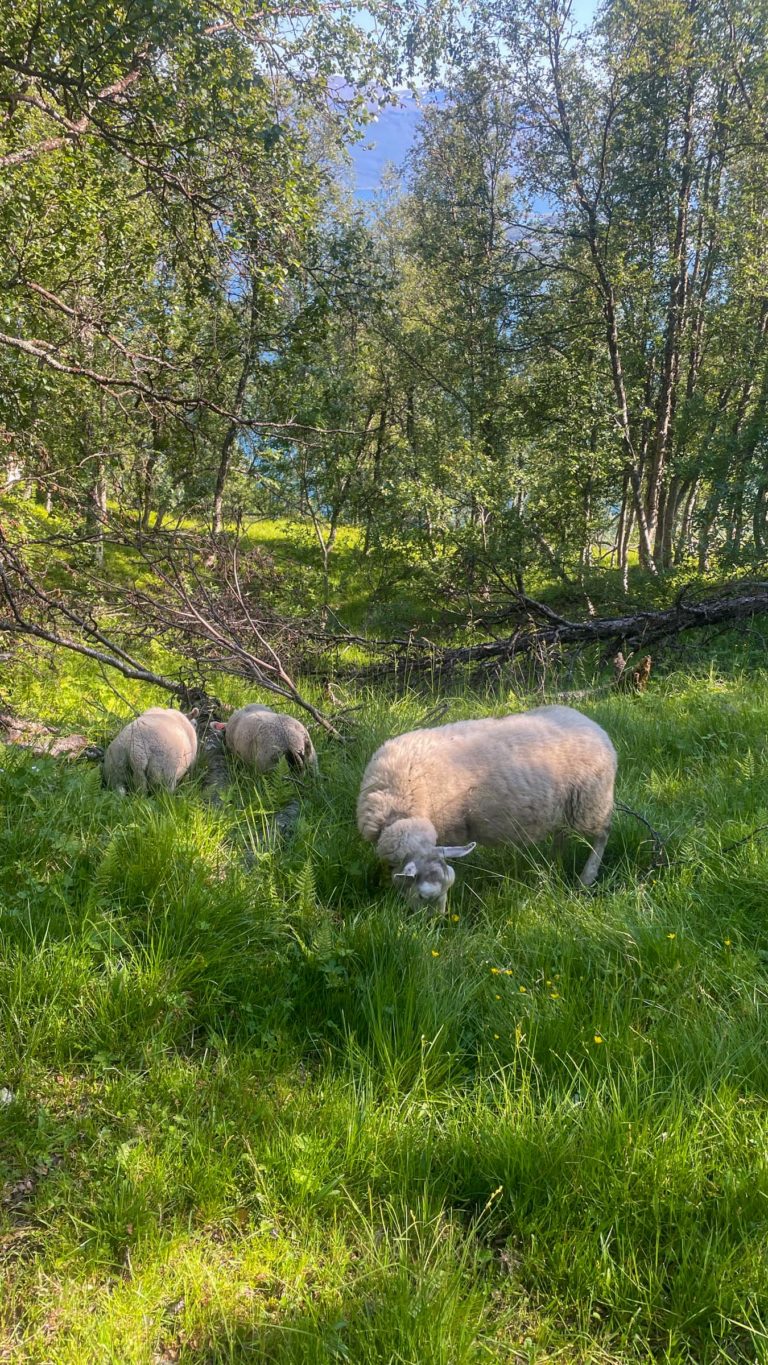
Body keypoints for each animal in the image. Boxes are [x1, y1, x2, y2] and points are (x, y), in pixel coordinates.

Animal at [357, 698, 616, 911]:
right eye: (423, 896)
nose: (437, 924)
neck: (400, 811)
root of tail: (593, 725)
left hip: (591, 802)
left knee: (602, 834)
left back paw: (586, 878)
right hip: (564, 806)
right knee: (562, 833)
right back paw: (554, 864)